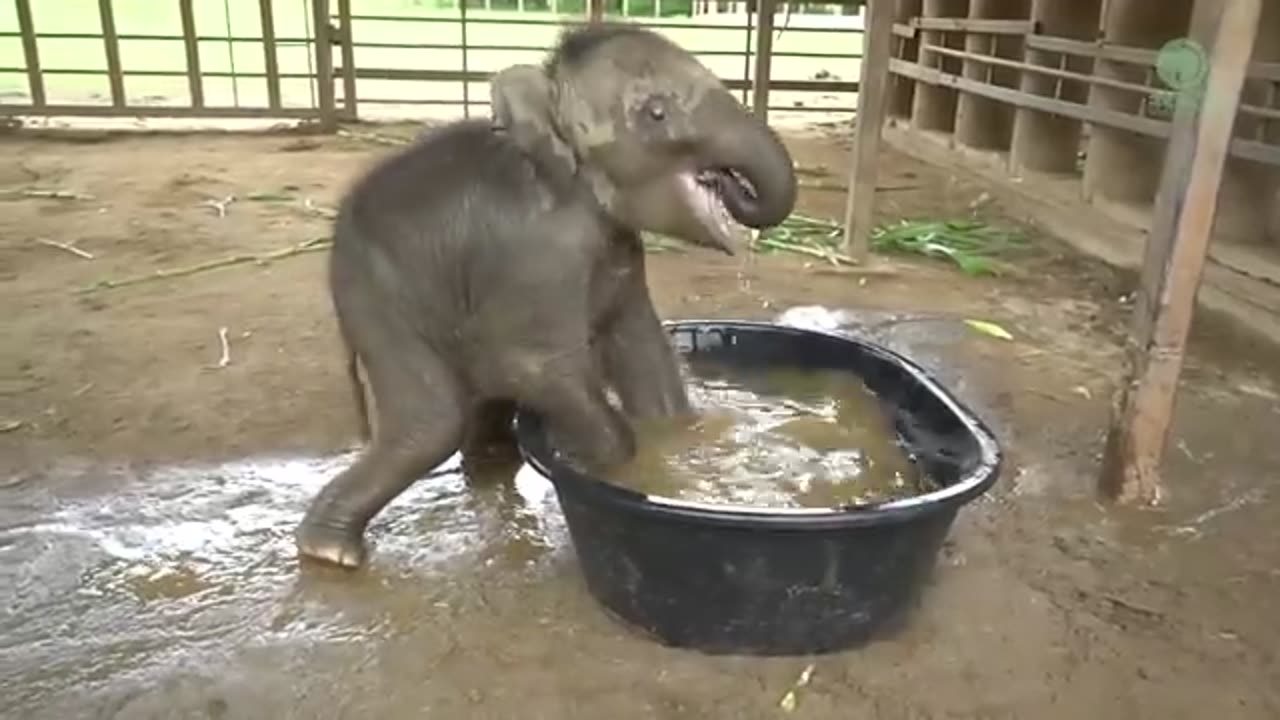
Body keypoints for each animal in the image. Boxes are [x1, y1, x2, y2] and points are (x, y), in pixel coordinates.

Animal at [300, 23, 798, 566]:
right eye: (656, 113)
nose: (731, 183)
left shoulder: (620, 252)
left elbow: (643, 350)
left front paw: (675, 442)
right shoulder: (538, 256)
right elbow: (531, 364)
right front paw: (598, 465)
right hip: (376, 295)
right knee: (431, 422)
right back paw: (329, 552)